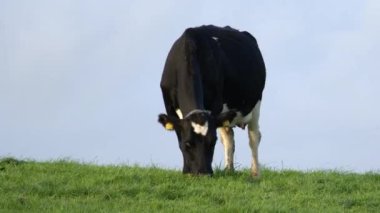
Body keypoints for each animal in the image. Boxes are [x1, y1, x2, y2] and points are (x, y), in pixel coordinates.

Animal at [157, 25, 264, 176]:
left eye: (212, 142)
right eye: (188, 144)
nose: (203, 173)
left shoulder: (215, 106)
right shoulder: (169, 107)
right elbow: (179, 137)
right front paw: (186, 171)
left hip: (256, 105)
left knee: (254, 137)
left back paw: (255, 173)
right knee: (229, 137)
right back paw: (228, 170)